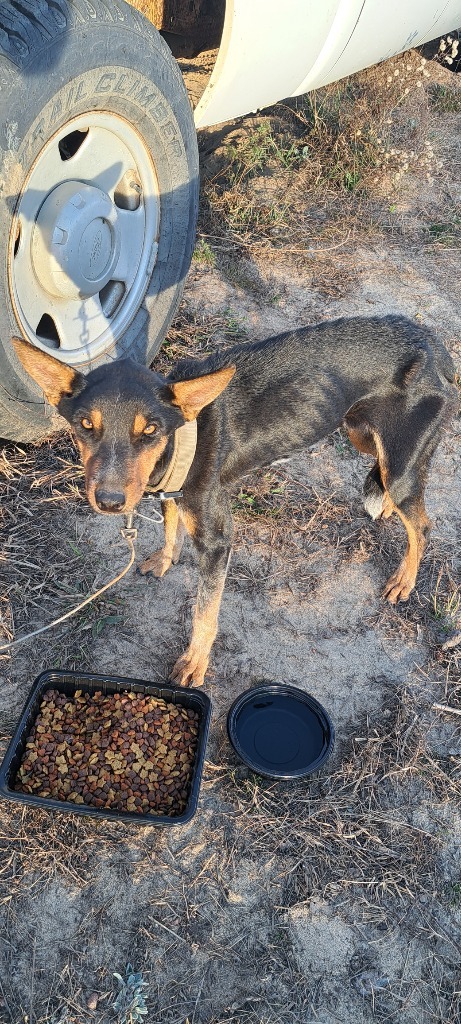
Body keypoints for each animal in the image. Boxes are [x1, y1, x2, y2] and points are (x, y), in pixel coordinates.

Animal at [13, 315, 456, 688]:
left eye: (151, 430)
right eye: (85, 425)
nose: (109, 501)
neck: (184, 434)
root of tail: (433, 343)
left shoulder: (217, 541)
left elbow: (204, 612)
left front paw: (195, 663)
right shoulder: (171, 494)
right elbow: (171, 527)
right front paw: (165, 559)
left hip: (399, 463)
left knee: (421, 524)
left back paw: (404, 579)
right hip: (361, 433)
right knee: (389, 486)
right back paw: (385, 510)